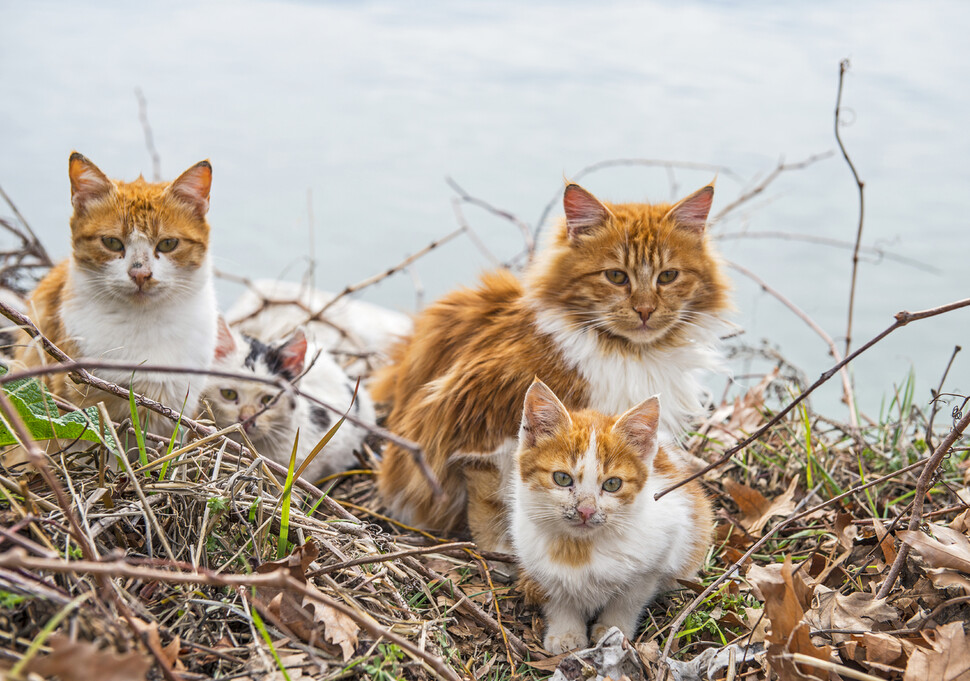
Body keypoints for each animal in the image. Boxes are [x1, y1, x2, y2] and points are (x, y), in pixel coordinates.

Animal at [370, 182, 728, 552]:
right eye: (616, 276)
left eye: (668, 276)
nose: (645, 310)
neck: (628, 353)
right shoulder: (476, 431)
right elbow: (491, 506)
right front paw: (504, 552)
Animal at [506, 380, 712, 652]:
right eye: (562, 478)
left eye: (613, 484)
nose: (586, 510)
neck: (579, 550)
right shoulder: (537, 564)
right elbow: (557, 597)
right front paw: (566, 633)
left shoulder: (660, 550)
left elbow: (628, 600)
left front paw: (613, 630)